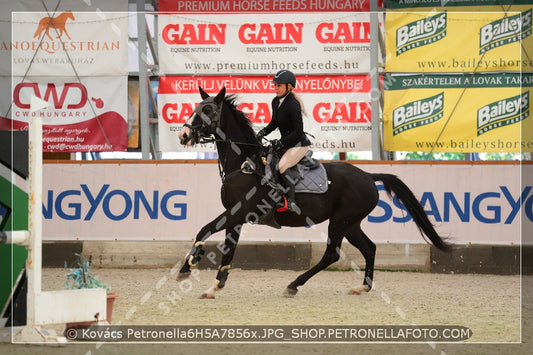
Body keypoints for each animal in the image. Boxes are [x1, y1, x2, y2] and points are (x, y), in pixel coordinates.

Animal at [177, 87, 450, 298]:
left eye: (209, 110)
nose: (184, 134)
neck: (245, 163)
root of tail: (368, 176)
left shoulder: (240, 211)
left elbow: (205, 229)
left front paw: (188, 266)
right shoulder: (236, 216)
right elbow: (227, 249)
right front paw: (214, 286)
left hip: (340, 222)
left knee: (332, 254)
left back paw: (293, 285)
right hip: (351, 223)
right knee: (369, 248)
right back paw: (362, 287)